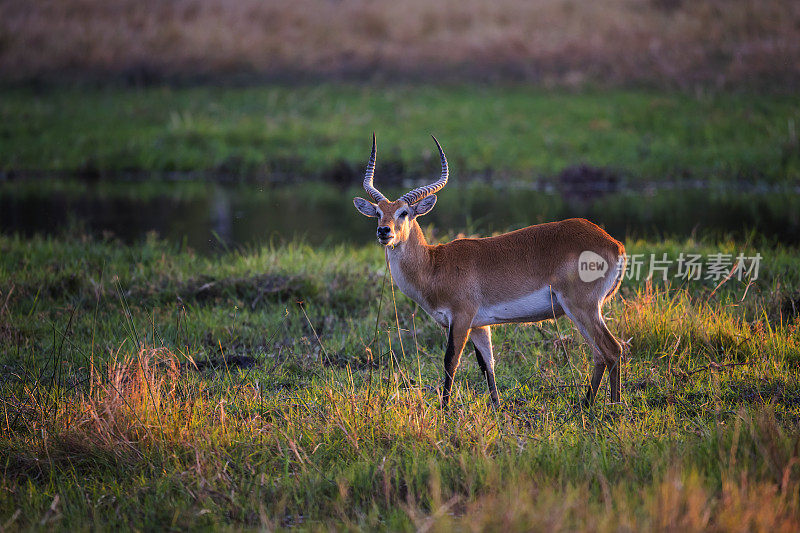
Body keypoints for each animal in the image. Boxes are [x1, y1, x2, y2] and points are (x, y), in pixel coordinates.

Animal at [354, 135, 624, 406]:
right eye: (378, 212)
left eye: (404, 212)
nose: (384, 231)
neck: (434, 265)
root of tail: (614, 244)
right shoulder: (479, 325)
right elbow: (488, 366)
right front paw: (496, 407)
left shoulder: (461, 317)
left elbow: (450, 362)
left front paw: (444, 410)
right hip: (581, 311)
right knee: (599, 354)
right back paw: (587, 404)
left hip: (582, 307)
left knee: (612, 349)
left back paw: (613, 406)